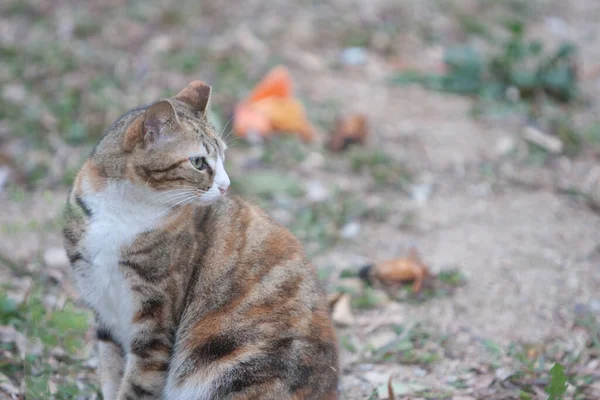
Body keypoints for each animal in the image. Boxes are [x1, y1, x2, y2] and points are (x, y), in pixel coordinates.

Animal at [64, 79, 342, 398]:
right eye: (198, 162)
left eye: (223, 157)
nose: (226, 185)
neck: (122, 212)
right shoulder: (103, 309)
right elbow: (112, 372)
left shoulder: (155, 322)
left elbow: (137, 383)